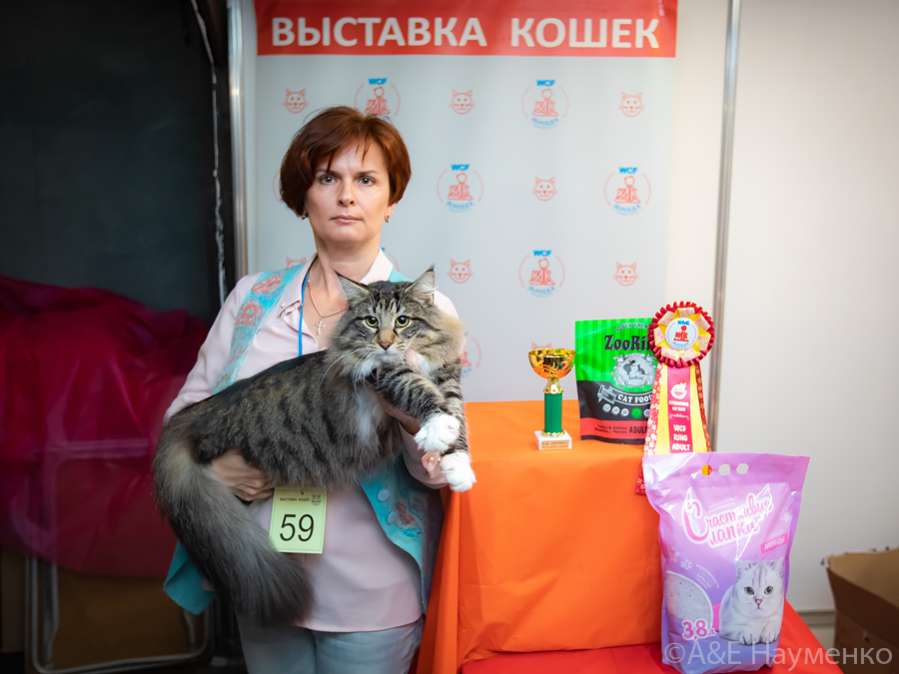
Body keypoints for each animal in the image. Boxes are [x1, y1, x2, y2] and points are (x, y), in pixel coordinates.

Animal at [153, 268, 476, 625]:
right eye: (371, 322)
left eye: (403, 320)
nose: (385, 343)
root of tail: (197, 413)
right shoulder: (384, 374)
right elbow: (420, 390)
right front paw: (440, 426)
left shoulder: (448, 376)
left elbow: (457, 415)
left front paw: (458, 466)